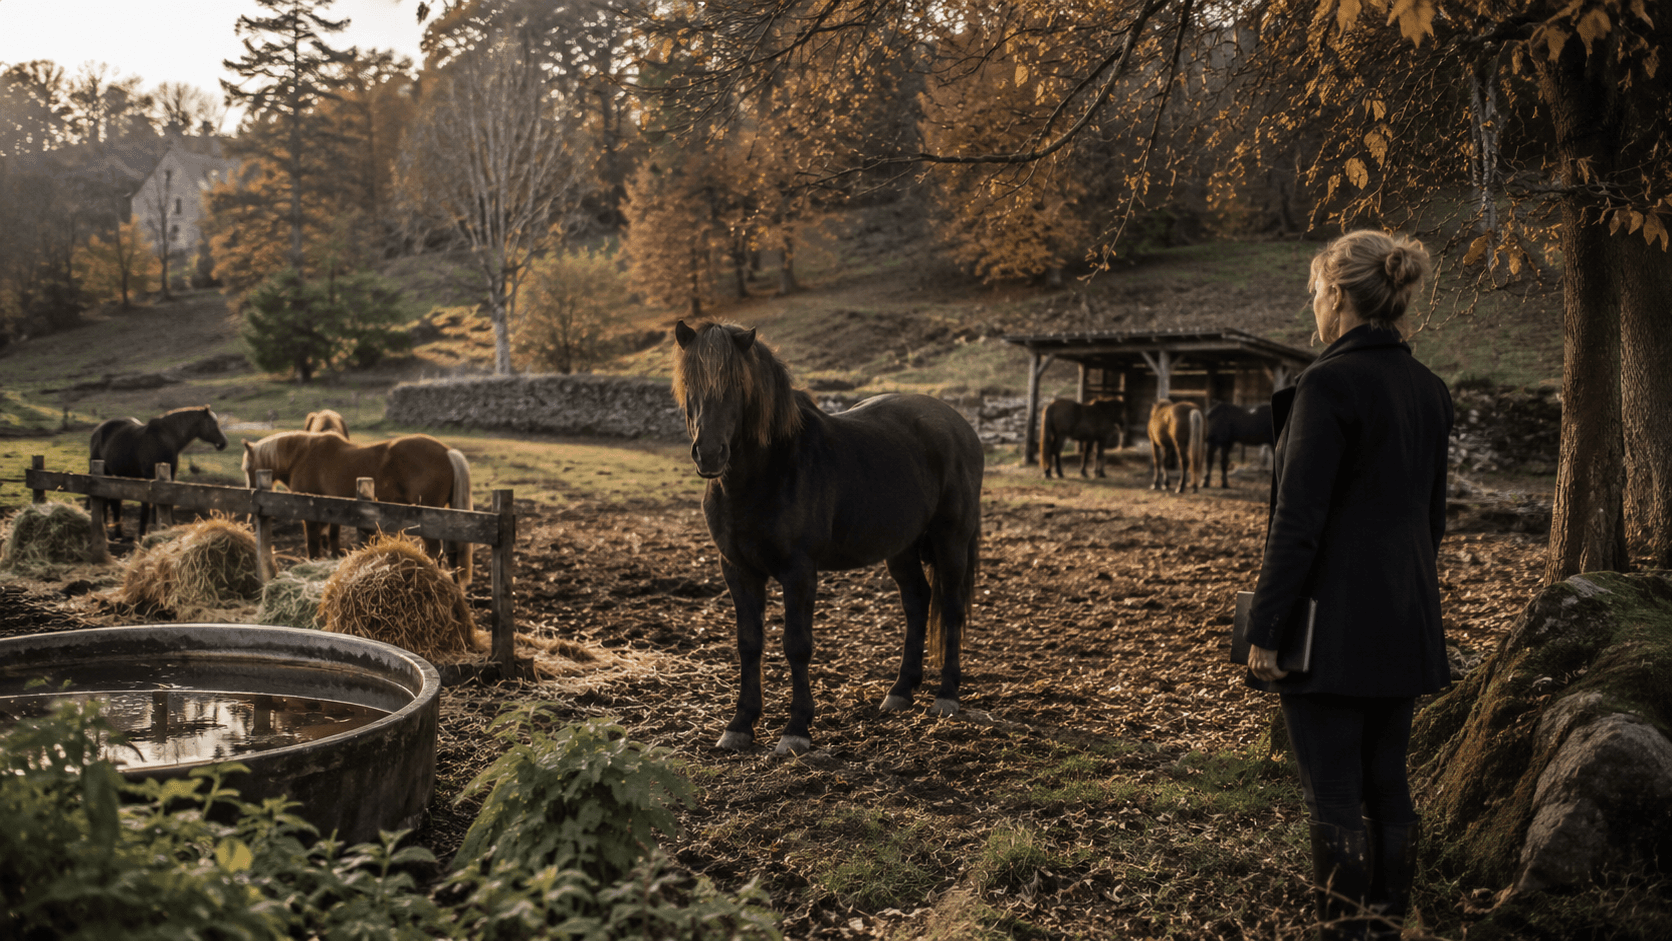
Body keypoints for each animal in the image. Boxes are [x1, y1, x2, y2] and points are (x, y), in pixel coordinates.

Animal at [88, 406, 227, 538]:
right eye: (213, 423)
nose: (223, 443)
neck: (166, 439)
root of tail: (97, 430)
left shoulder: (170, 476)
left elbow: (168, 501)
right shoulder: (149, 476)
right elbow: (148, 505)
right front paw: (144, 532)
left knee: (114, 502)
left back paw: (117, 532)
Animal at [241, 431, 473, 584]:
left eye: (247, 467)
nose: (250, 492)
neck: (302, 456)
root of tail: (447, 452)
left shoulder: (311, 515)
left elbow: (313, 545)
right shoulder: (332, 511)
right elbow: (332, 540)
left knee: (435, 552)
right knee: (452, 553)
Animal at [673, 320, 983, 755]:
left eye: (737, 384)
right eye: (690, 383)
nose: (710, 454)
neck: (768, 472)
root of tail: (960, 426)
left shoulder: (799, 572)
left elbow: (797, 644)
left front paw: (796, 729)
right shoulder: (737, 569)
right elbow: (749, 644)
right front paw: (740, 725)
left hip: (951, 540)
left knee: (951, 608)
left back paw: (947, 696)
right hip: (901, 548)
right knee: (917, 602)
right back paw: (900, 691)